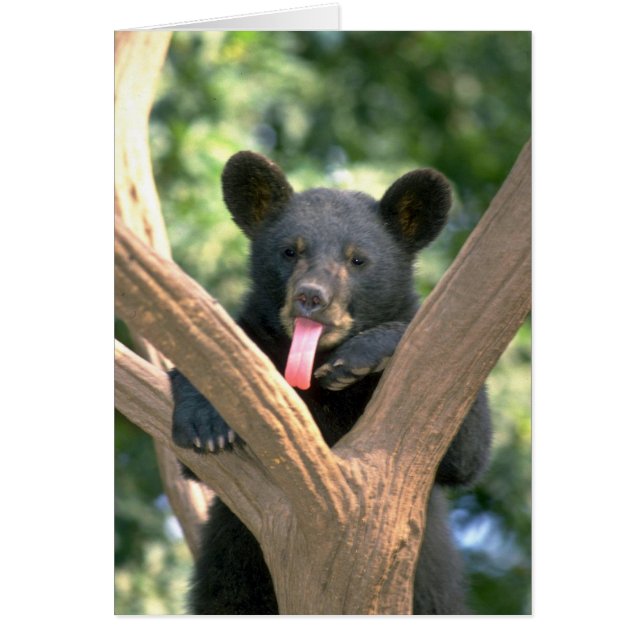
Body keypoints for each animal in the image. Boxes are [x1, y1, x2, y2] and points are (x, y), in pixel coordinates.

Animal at [169, 150, 492, 614]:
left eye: (357, 259)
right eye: (290, 251)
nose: (311, 296)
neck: (313, 357)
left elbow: (466, 453)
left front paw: (358, 357)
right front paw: (205, 421)